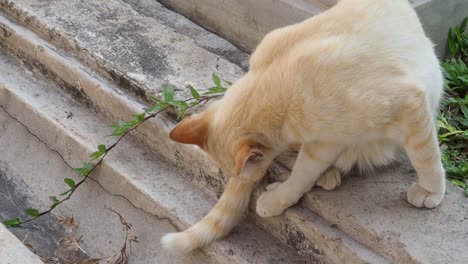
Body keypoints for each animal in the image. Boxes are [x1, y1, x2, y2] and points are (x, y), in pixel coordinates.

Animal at [161, 0, 446, 252]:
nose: (241, 180)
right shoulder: (324, 142)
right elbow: (301, 174)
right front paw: (278, 199)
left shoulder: (409, 105)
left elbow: (425, 157)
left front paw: (430, 189)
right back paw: (328, 175)